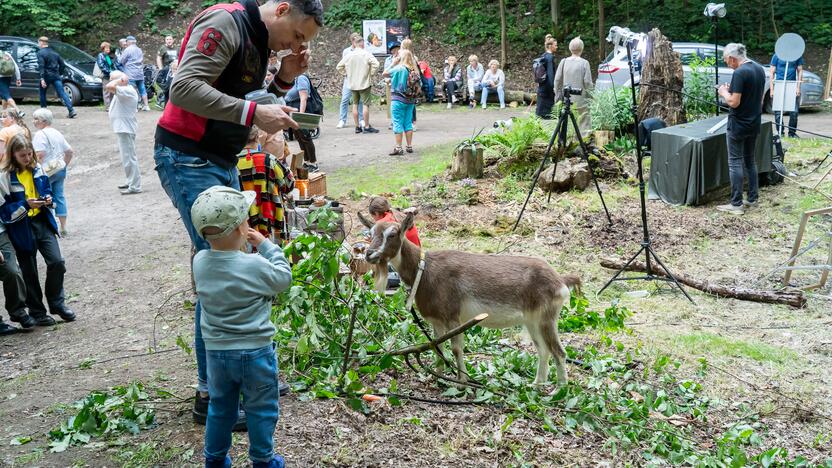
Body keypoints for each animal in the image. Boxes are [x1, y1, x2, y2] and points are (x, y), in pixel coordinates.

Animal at [360, 211, 580, 384]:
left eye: (393, 234)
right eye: (370, 233)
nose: (369, 254)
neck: (424, 270)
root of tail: (560, 280)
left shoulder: (452, 316)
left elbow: (457, 349)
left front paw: (462, 381)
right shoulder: (436, 319)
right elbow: (437, 347)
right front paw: (437, 376)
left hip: (547, 317)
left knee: (558, 351)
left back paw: (559, 391)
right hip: (532, 320)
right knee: (543, 350)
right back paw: (537, 385)